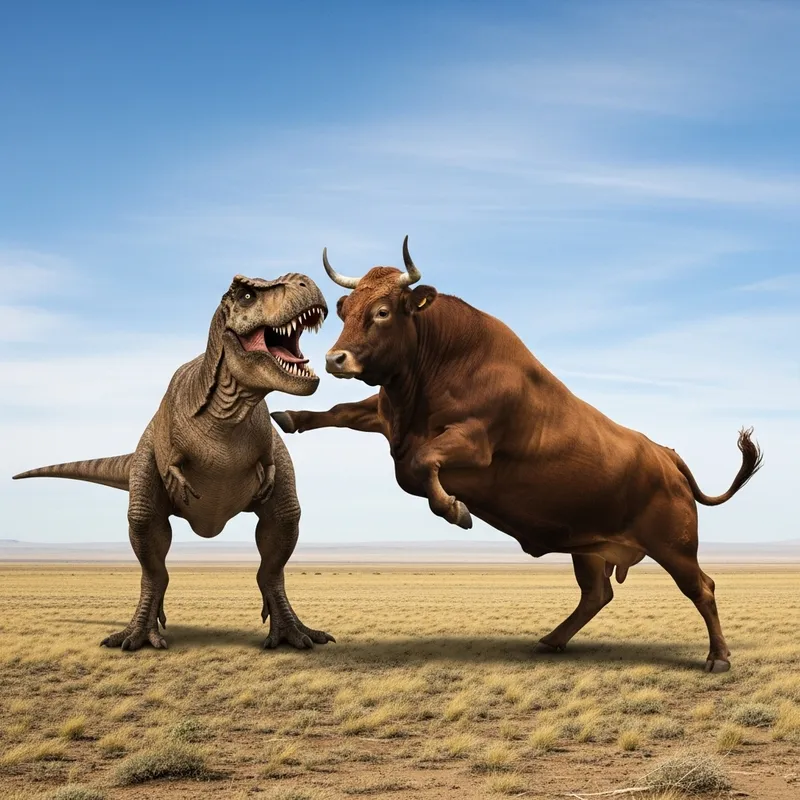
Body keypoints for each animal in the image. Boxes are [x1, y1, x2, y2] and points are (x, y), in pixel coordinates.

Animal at [271, 237, 763, 672]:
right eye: (346, 310)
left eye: (382, 311)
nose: (336, 359)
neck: (440, 362)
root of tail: (665, 454)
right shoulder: (389, 415)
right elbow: (344, 412)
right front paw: (290, 416)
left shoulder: (474, 443)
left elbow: (420, 463)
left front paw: (455, 510)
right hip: (589, 546)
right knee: (596, 594)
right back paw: (552, 641)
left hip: (674, 547)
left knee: (702, 588)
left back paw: (718, 658)